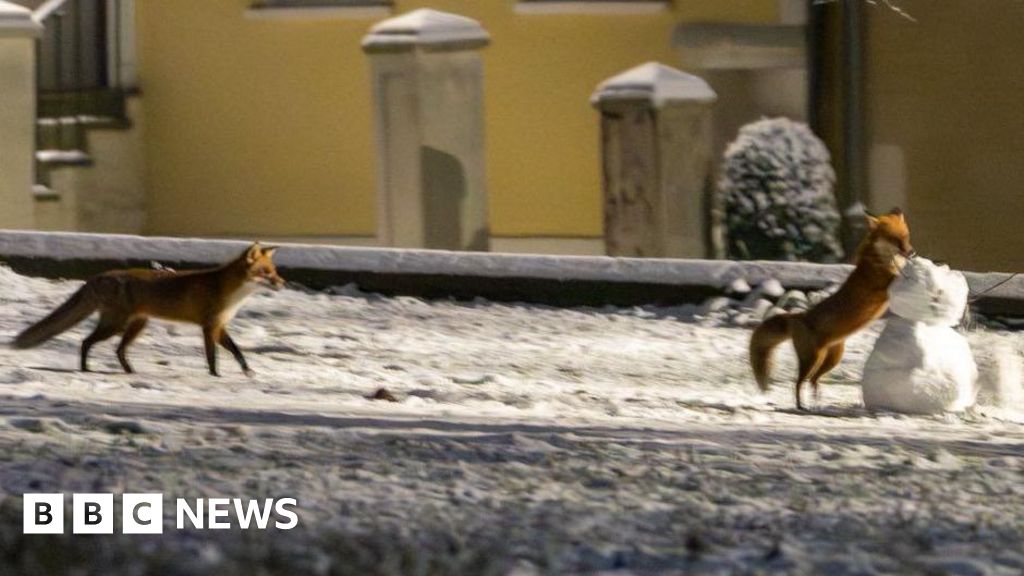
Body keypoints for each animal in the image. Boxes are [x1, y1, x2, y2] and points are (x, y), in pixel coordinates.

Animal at [11, 242, 284, 376]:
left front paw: (248, 371)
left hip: (136, 325)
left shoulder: (220, 326)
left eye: (275, 271)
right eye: (266, 273)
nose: (282, 283)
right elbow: (212, 357)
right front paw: (216, 376)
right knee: (86, 342)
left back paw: (130, 372)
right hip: (116, 325)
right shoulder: (209, 327)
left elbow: (237, 352)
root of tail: (99, 276)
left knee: (119, 350)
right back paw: (85, 369)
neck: (231, 295)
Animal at [749, 209, 915, 410]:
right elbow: (897, 277)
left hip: (831, 359)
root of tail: (799, 316)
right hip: (812, 359)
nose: (912, 252)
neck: (878, 261)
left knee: (813, 380)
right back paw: (801, 407)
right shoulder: (883, 287)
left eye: (906, 237)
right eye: (894, 239)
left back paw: (817, 403)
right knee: (798, 383)